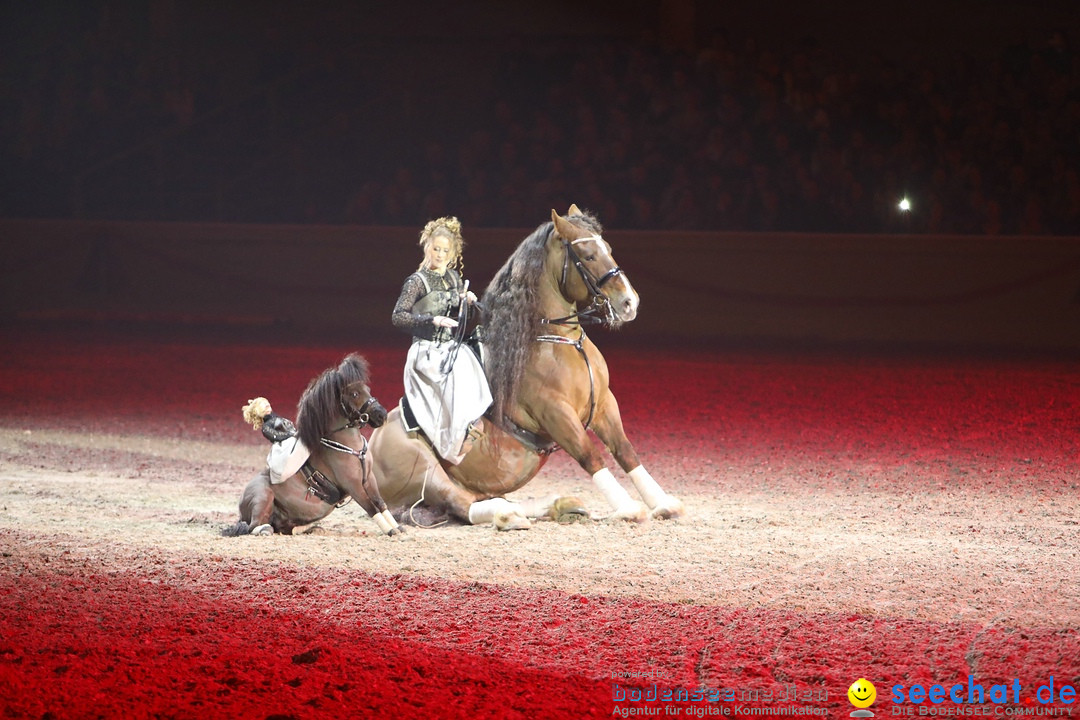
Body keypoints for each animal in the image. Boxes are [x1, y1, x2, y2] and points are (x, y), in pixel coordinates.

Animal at [221, 354, 403, 535]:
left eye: (368, 389)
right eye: (355, 393)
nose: (381, 415)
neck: (352, 448)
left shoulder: (369, 479)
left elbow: (380, 503)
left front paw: (398, 528)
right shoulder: (353, 485)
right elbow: (371, 508)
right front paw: (391, 531)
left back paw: (311, 528)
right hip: (263, 496)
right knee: (253, 526)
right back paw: (266, 530)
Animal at [367, 207, 678, 528]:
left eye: (608, 249)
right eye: (589, 256)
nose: (630, 302)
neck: (557, 342)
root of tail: (372, 445)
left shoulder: (604, 402)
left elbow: (625, 450)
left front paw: (663, 503)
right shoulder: (555, 413)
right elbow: (589, 454)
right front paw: (628, 507)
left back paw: (558, 505)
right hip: (425, 469)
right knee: (462, 503)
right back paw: (510, 515)